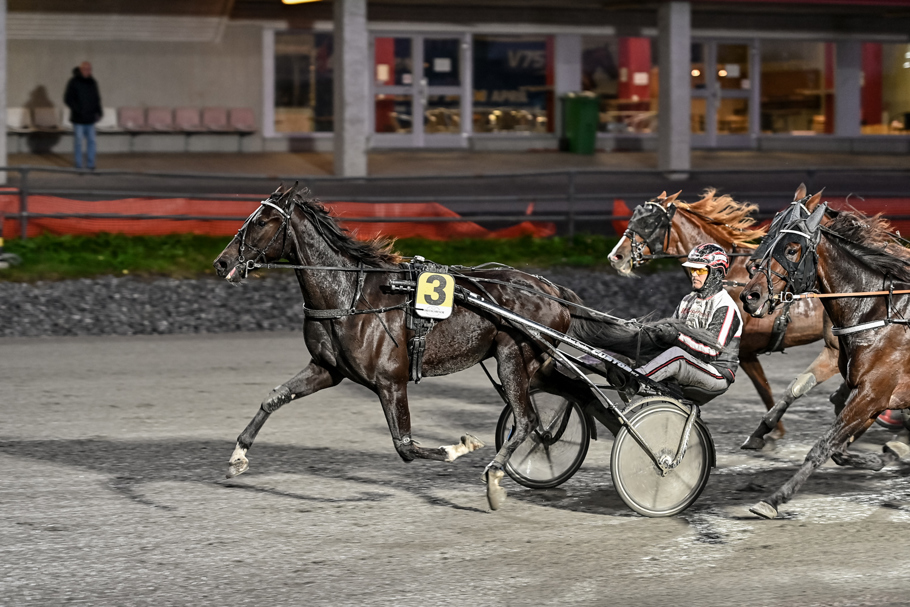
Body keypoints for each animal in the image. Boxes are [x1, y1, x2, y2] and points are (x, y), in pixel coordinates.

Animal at [212, 183, 602, 511]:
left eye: (262, 221)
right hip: (537, 364)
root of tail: (552, 290)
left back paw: (494, 476)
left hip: (513, 357)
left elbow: (405, 446)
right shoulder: (327, 369)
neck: (350, 297)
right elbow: (274, 398)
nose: (222, 262)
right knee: (567, 398)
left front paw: (459, 447)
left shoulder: (390, 382)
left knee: (526, 419)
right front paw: (238, 457)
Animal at [608, 187, 841, 444]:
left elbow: (763, 389)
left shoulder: (744, 352)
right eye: (633, 218)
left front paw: (770, 431)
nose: (616, 256)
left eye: (650, 222)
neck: (732, 277)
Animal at [739, 199, 910, 519]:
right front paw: (879, 459)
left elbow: (823, 446)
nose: (750, 296)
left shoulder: (872, 394)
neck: (878, 313)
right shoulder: (869, 397)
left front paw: (773, 500)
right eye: (769, 238)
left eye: (791, 248)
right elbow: (838, 448)